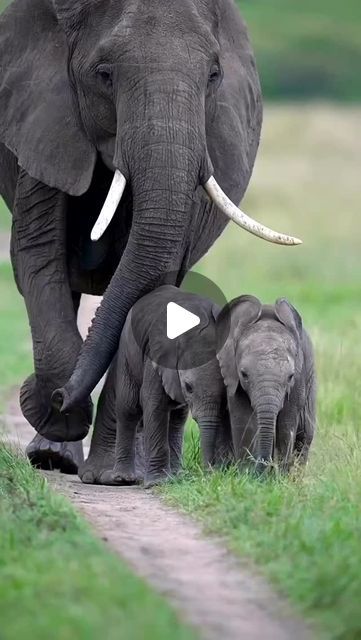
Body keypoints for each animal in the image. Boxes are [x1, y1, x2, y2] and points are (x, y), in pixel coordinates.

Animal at [80, 284, 231, 484]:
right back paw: (123, 478)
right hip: (128, 351)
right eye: (189, 387)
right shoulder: (156, 355)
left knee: (177, 417)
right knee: (128, 408)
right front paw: (157, 482)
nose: (209, 474)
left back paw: (175, 475)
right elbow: (153, 404)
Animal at [217, 298, 316, 472]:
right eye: (244, 374)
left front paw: (281, 476)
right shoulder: (232, 376)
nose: (264, 467)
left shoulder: (300, 377)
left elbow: (286, 424)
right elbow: (243, 419)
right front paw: (247, 473)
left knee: (305, 434)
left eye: (290, 377)